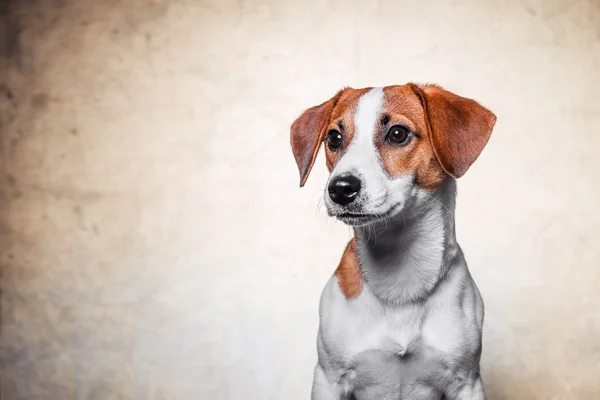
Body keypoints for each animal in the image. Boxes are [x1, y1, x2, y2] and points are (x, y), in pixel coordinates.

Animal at [290, 83, 496, 398]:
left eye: (397, 133)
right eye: (334, 138)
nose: (340, 188)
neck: (401, 276)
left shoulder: (468, 383)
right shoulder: (328, 379)